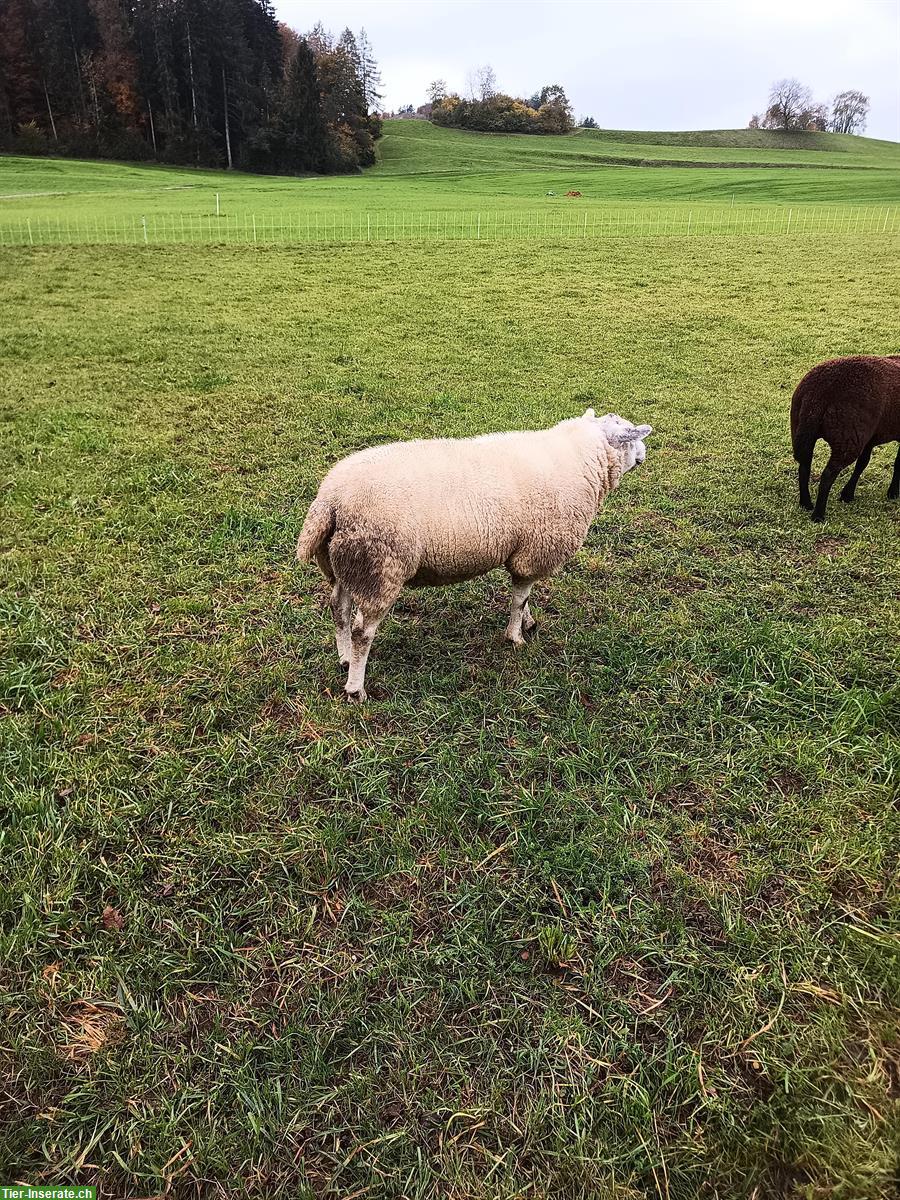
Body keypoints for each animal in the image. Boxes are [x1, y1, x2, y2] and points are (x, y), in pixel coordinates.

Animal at [300, 408, 652, 700]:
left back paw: (345, 658)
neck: (581, 461)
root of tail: (330, 499)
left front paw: (528, 623)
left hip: (346, 564)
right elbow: (519, 598)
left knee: (339, 610)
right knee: (363, 631)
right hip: (379, 567)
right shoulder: (533, 551)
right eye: (631, 434)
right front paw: (515, 637)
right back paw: (355, 688)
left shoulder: (523, 554)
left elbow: (524, 597)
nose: (645, 454)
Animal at [792, 355, 897, 525]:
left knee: (804, 467)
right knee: (827, 475)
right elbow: (898, 463)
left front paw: (847, 494)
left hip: (802, 428)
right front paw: (893, 493)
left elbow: (863, 463)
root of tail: (819, 392)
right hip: (848, 436)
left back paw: (806, 503)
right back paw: (818, 515)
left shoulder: (869, 438)